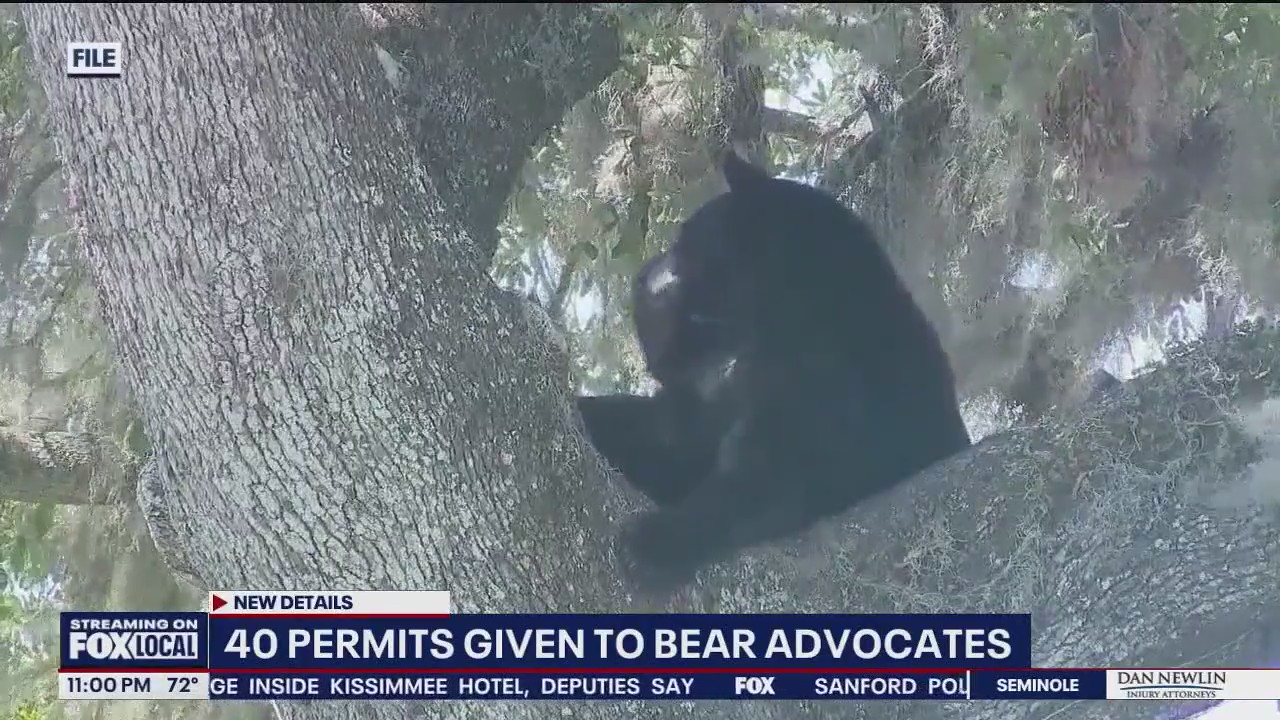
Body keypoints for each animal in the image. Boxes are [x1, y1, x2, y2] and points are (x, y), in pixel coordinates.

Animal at [577, 152, 972, 589]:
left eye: (684, 239)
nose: (642, 274)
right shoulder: (712, 406)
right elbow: (665, 441)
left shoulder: (830, 411)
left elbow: (761, 484)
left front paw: (655, 541)